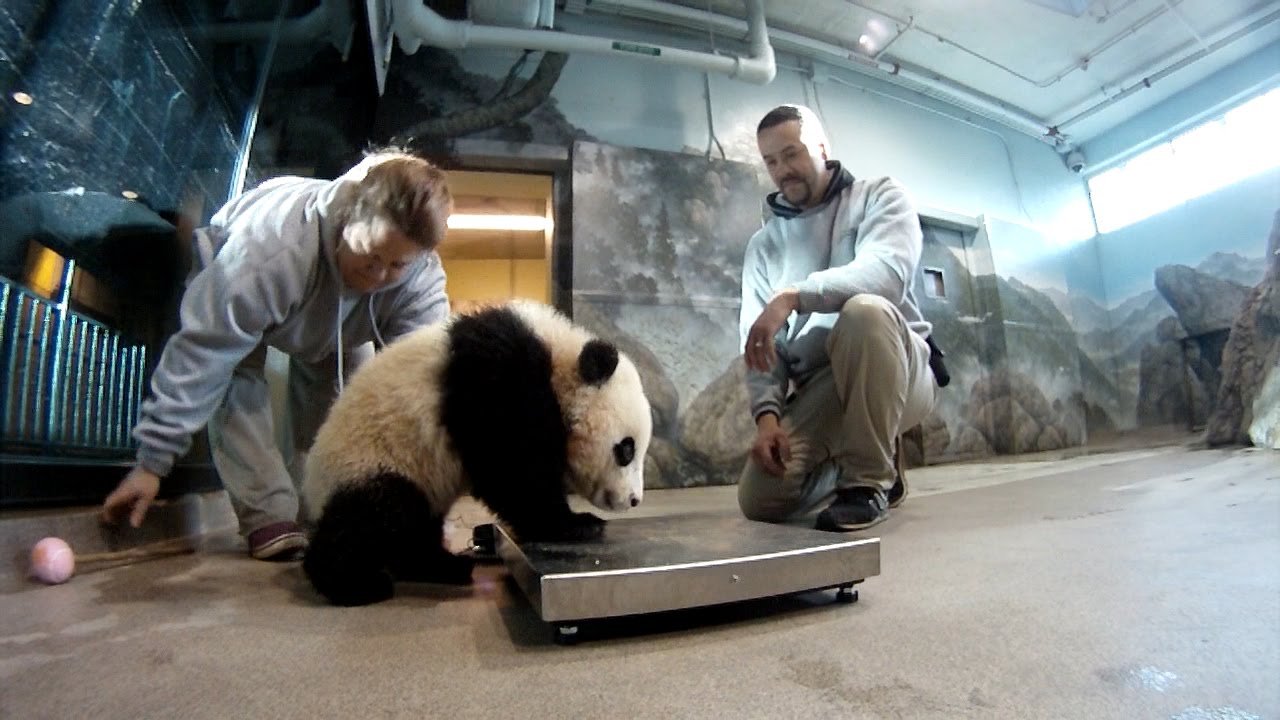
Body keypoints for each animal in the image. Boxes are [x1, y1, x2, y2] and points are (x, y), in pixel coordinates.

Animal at [300, 299, 653, 607]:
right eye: (626, 449)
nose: (634, 500)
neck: (558, 355)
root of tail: (313, 484)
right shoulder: (497, 376)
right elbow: (511, 465)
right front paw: (576, 523)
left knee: (414, 527)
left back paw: (442, 566)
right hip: (374, 457)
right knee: (376, 514)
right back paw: (354, 583)